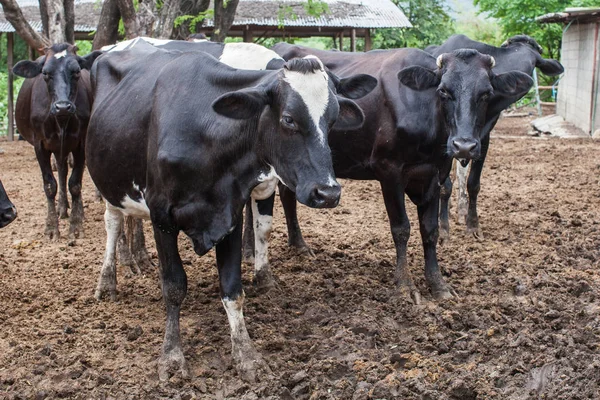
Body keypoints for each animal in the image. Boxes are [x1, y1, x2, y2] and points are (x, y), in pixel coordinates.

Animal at [12, 45, 101, 241]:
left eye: (76, 72)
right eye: (45, 73)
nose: (62, 106)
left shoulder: (80, 142)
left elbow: (75, 184)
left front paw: (76, 226)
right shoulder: (40, 145)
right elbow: (50, 185)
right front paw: (51, 227)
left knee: (66, 171)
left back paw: (76, 210)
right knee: (61, 170)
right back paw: (62, 207)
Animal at [86, 39, 378, 382]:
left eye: (332, 120)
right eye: (288, 119)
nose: (328, 192)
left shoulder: (231, 212)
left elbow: (232, 288)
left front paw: (246, 354)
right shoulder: (162, 216)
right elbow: (173, 286)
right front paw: (172, 356)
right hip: (109, 181)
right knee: (113, 222)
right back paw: (108, 280)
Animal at [426, 34, 564, 241]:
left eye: (486, 93)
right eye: (444, 91)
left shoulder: (483, 139)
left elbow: (473, 183)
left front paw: (473, 225)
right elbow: (444, 185)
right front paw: (443, 228)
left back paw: (460, 210)